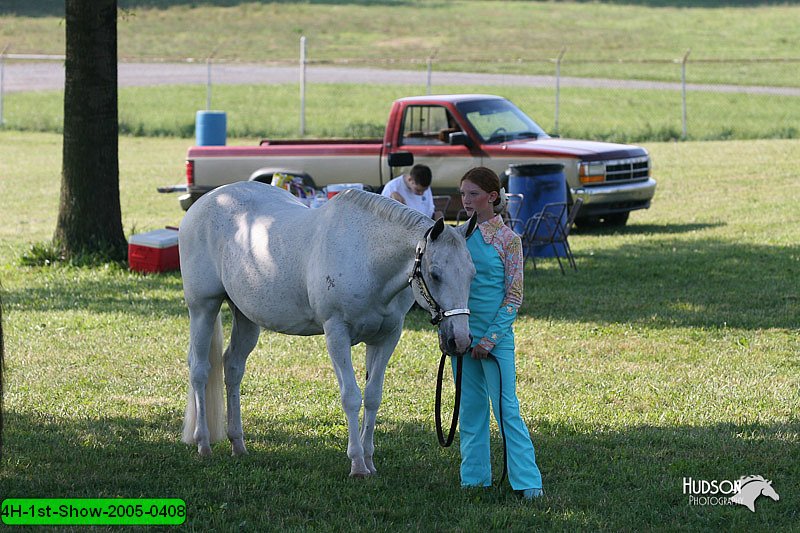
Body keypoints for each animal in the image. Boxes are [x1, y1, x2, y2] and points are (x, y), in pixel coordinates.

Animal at [179, 181, 476, 476]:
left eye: (472, 273)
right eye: (435, 274)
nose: (460, 340)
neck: (367, 256)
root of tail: (208, 199)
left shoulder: (386, 336)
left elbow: (372, 396)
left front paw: (369, 460)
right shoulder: (337, 333)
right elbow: (351, 397)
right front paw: (357, 464)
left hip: (246, 316)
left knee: (232, 367)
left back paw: (238, 444)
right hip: (203, 308)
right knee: (200, 369)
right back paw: (203, 443)